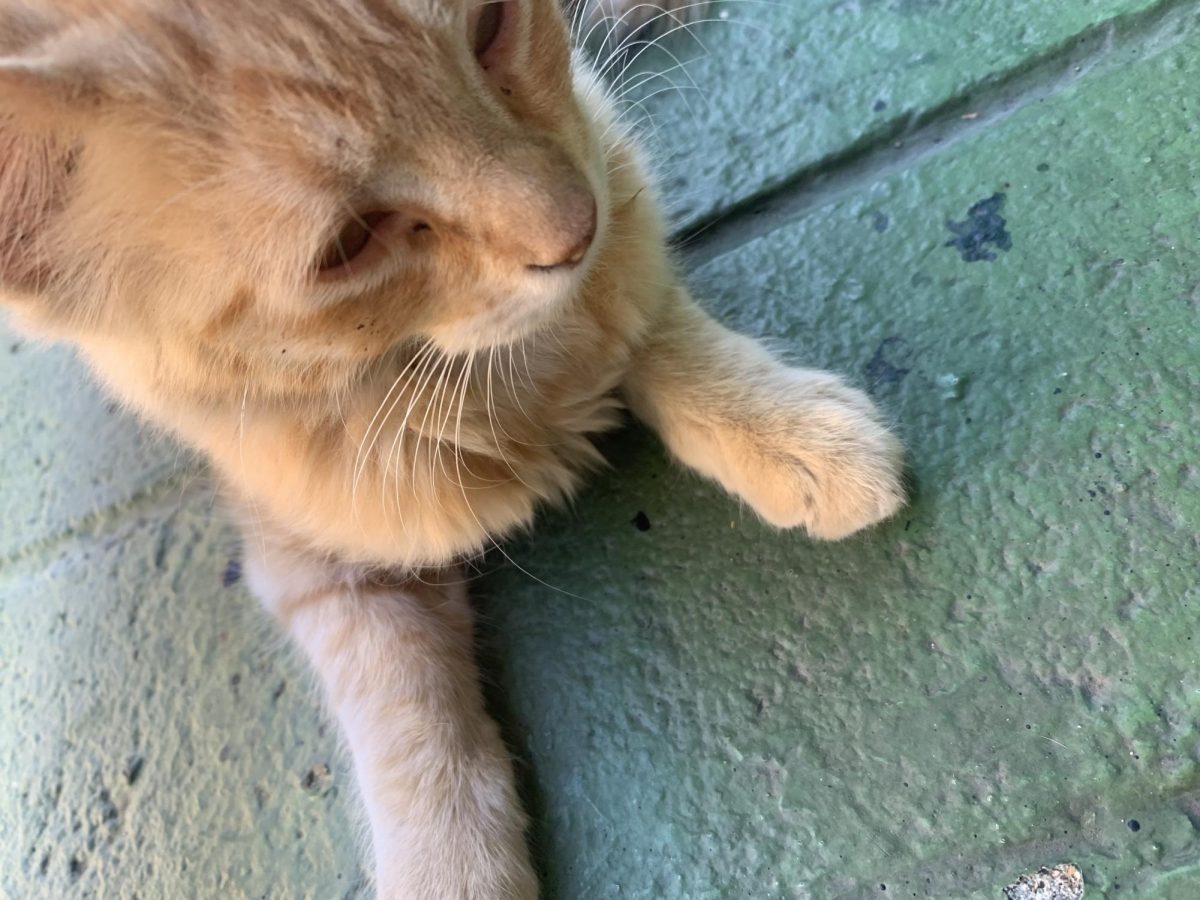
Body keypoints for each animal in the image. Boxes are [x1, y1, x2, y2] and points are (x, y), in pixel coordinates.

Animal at [0, 1, 902, 900]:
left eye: (493, 24)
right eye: (349, 243)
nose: (575, 228)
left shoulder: (599, 146)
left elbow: (636, 307)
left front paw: (785, 427)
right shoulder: (309, 554)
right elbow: (409, 711)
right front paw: (449, 866)